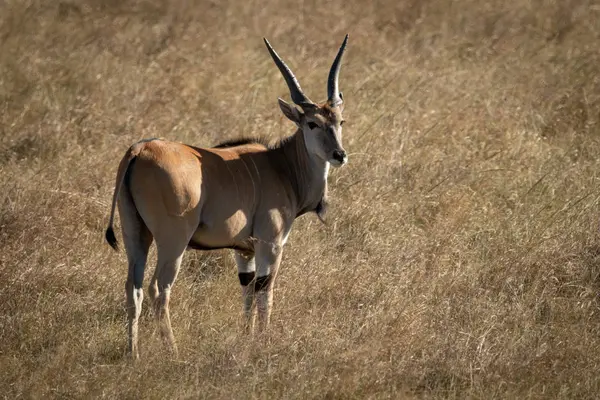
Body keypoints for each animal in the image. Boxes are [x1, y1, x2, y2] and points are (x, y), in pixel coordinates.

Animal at [105, 35, 350, 360]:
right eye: (312, 123)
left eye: (340, 122)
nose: (339, 155)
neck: (282, 165)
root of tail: (140, 149)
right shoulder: (270, 243)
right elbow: (265, 290)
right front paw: (264, 341)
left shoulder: (243, 250)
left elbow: (247, 288)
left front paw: (246, 337)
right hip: (173, 241)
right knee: (159, 288)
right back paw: (173, 350)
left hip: (136, 235)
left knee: (133, 288)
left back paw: (133, 353)